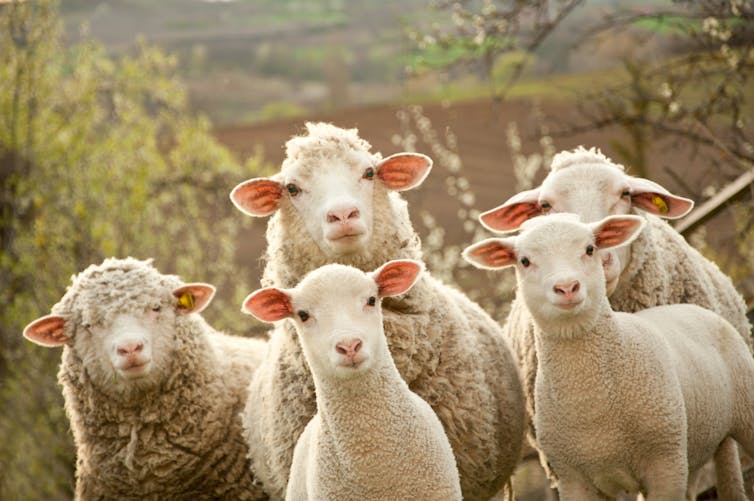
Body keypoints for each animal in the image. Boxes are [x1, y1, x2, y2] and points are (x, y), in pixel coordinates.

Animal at [463, 214, 754, 500]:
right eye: (524, 261)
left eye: (590, 249)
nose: (567, 287)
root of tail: (692, 308)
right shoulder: (573, 479)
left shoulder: (666, 464)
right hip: (706, 444)